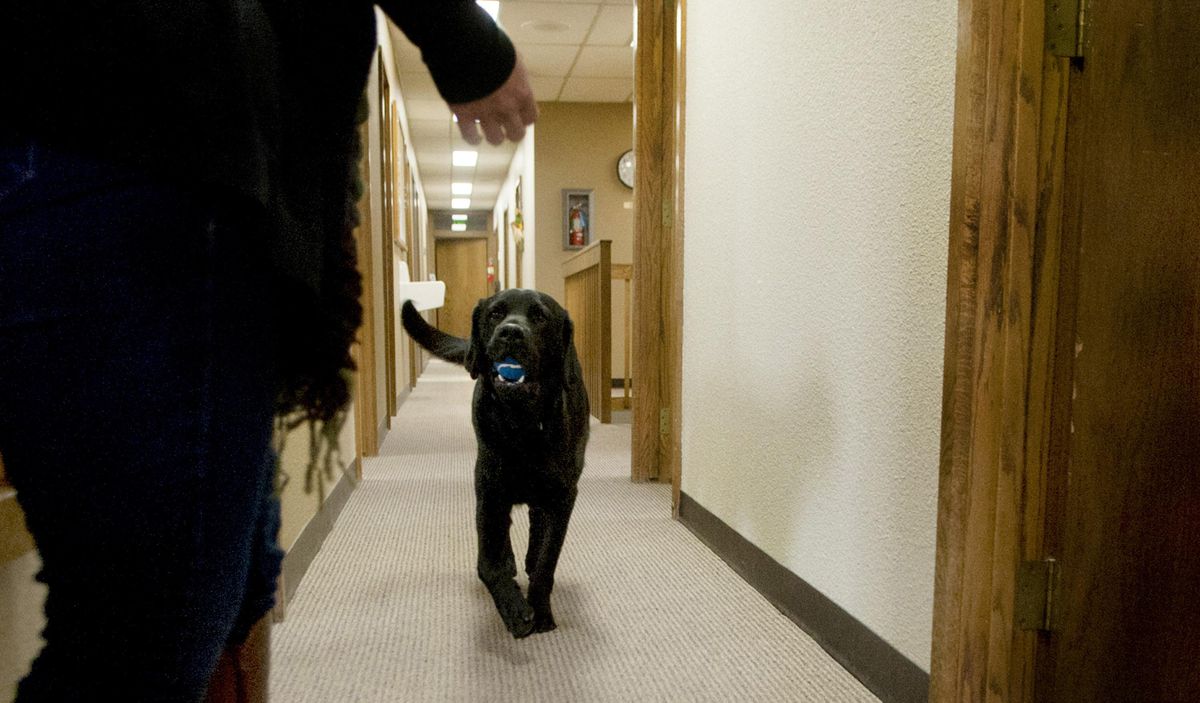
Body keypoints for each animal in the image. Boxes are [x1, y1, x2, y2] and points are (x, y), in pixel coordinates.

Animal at [403, 289, 590, 633]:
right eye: (495, 314)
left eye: (540, 316)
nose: (511, 332)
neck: (522, 425)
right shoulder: (489, 493)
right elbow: (487, 563)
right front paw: (513, 607)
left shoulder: (562, 496)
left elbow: (546, 561)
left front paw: (540, 611)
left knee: (536, 526)